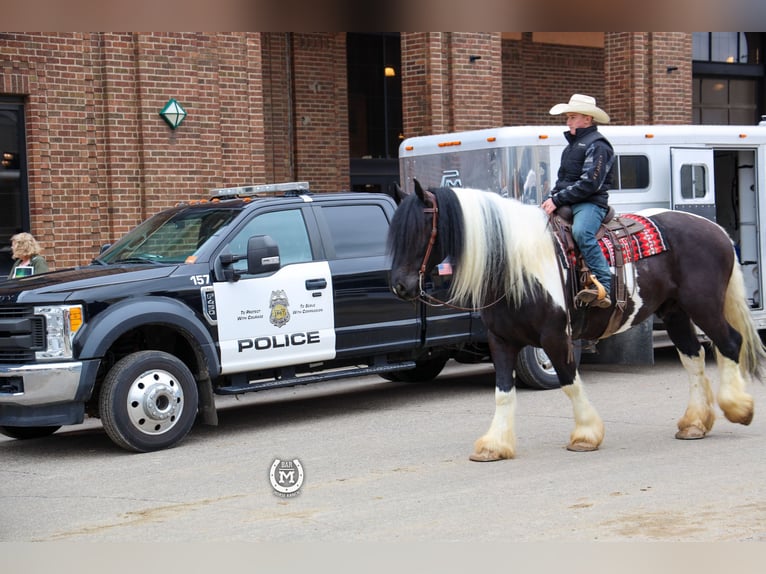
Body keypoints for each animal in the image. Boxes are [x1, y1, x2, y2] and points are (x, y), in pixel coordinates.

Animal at [390, 184, 766, 464]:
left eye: (421, 231)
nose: (400, 286)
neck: (517, 265)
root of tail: (715, 229)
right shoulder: (501, 341)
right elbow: (503, 392)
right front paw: (494, 445)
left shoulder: (557, 337)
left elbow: (569, 382)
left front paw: (585, 435)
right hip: (676, 312)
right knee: (693, 357)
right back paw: (694, 424)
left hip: (703, 305)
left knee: (729, 343)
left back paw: (738, 408)